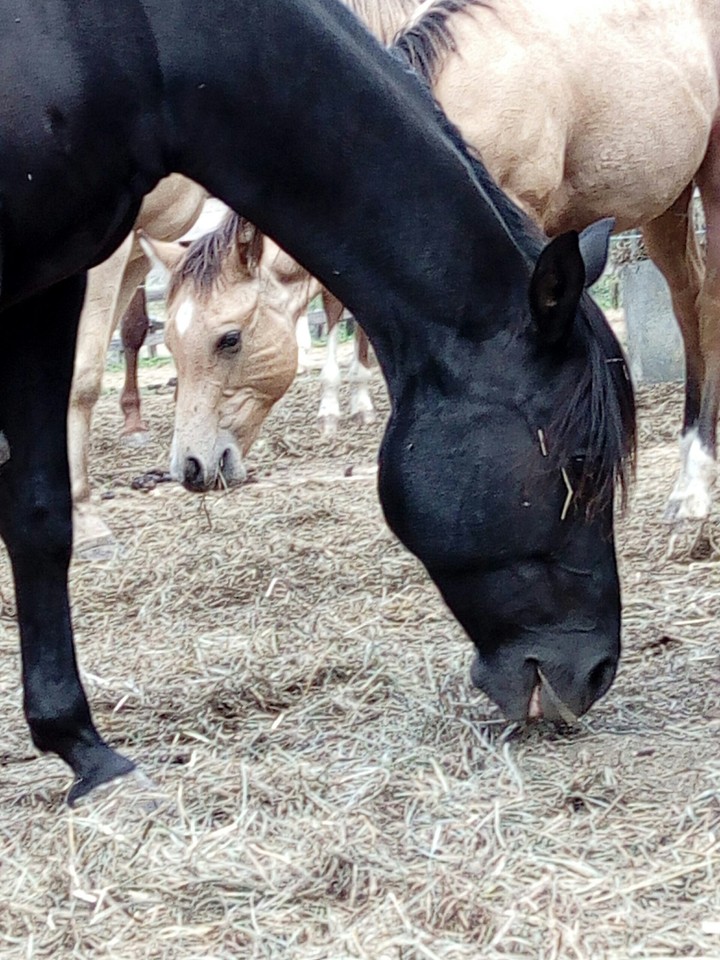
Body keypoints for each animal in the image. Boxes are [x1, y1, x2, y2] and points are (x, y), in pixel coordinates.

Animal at [0, 0, 634, 803]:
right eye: (579, 464)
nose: (596, 672)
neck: (146, 45)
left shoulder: (47, 285)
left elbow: (39, 514)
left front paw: (82, 746)